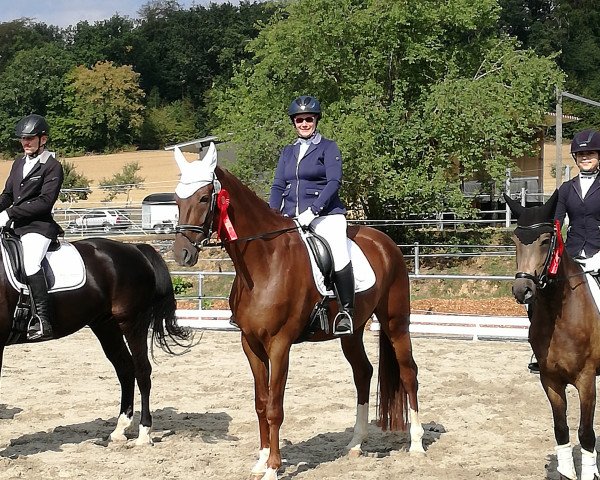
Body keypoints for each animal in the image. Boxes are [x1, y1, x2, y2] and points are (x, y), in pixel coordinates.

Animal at [0, 238, 190, 444]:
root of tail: (133, 248)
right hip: (105, 325)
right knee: (125, 369)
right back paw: (120, 429)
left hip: (133, 321)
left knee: (142, 370)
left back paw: (144, 434)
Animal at [169, 145, 422, 480]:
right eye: (177, 198)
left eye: (202, 198)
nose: (181, 254)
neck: (264, 262)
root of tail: (385, 242)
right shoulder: (250, 344)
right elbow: (261, 403)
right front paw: (261, 460)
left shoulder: (280, 344)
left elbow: (275, 407)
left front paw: (274, 467)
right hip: (351, 331)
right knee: (363, 373)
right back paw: (356, 443)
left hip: (395, 322)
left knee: (408, 373)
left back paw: (417, 444)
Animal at [508, 191, 600, 480]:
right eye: (515, 240)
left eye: (546, 241)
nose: (522, 290)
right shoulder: (550, 379)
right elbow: (561, 431)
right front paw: (567, 472)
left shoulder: (586, 379)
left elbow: (586, 433)